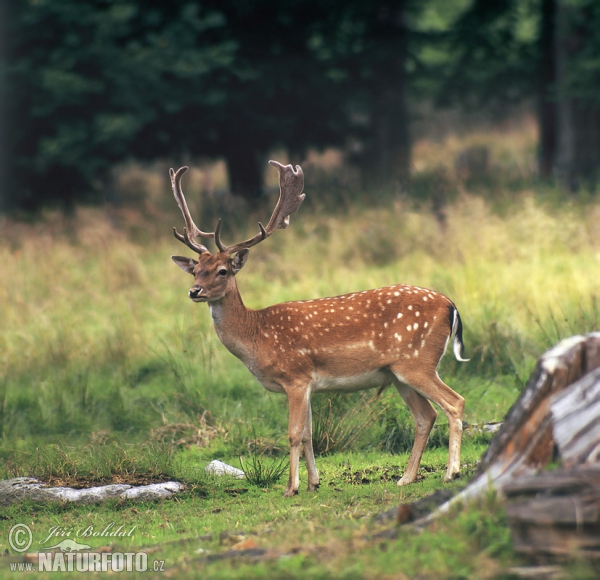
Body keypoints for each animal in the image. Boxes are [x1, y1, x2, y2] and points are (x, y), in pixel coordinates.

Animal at [169, 161, 468, 496]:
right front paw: (313, 482)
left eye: (222, 271)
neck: (257, 336)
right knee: (425, 416)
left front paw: (291, 487)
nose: (194, 291)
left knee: (454, 402)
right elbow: (309, 435)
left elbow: (293, 433)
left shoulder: (295, 377)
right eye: (196, 270)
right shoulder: (310, 384)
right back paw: (406, 477)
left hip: (418, 362)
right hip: (398, 373)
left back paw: (451, 473)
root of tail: (450, 305)